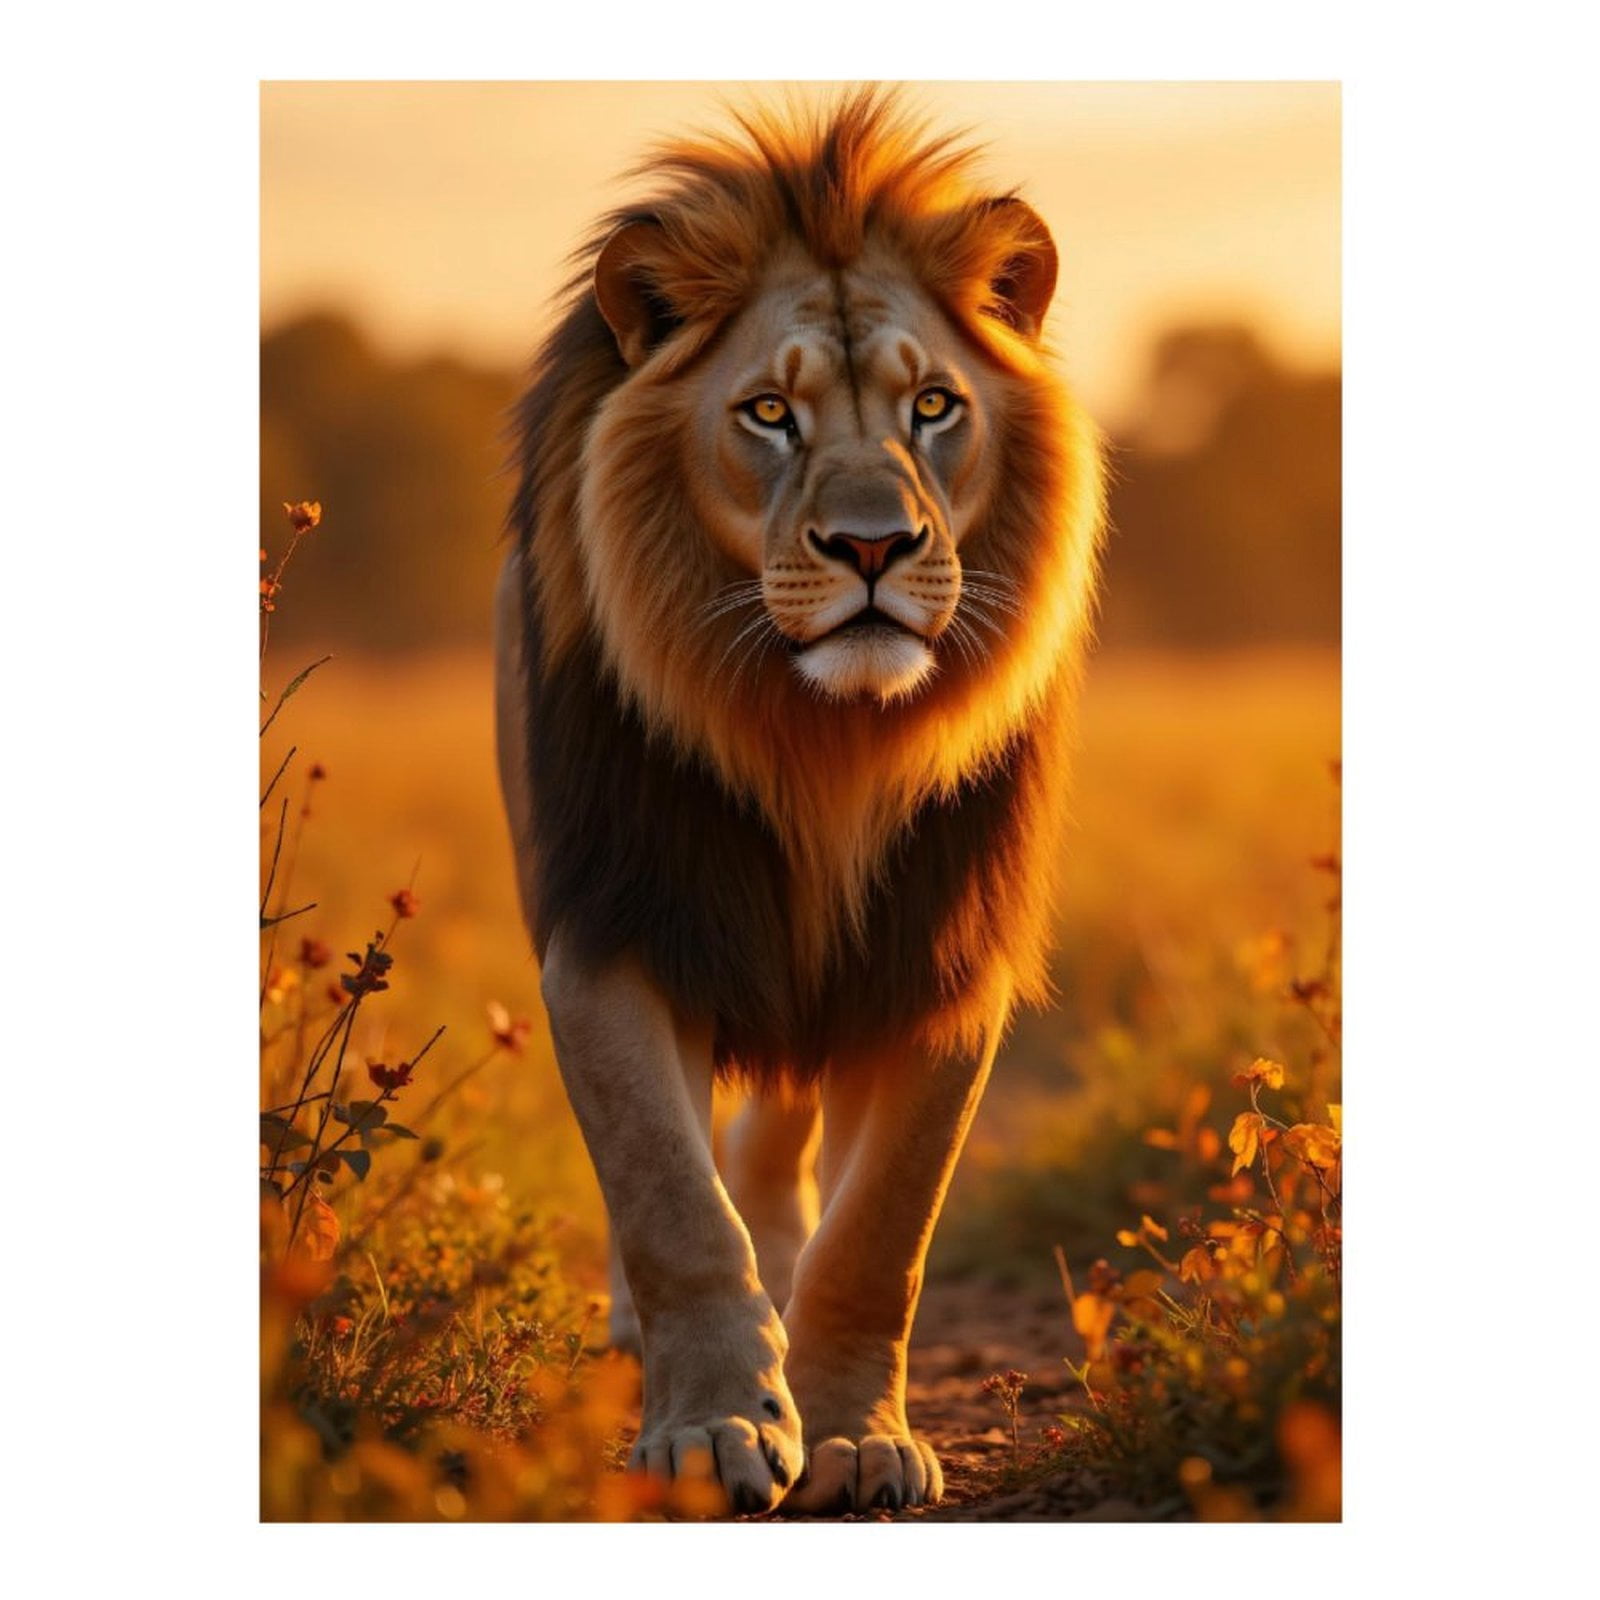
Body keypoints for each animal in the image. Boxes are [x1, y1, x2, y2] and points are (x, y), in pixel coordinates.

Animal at [494, 89, 1103, 1515]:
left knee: (779, 1148)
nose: (872, 546)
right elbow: (668, 1198)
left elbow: (882, 1232)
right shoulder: (613, 926)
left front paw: (853, 1431)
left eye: (934, 405)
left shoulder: (942, 955)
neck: (823, 743)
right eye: (768, 412)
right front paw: (710, 1423)